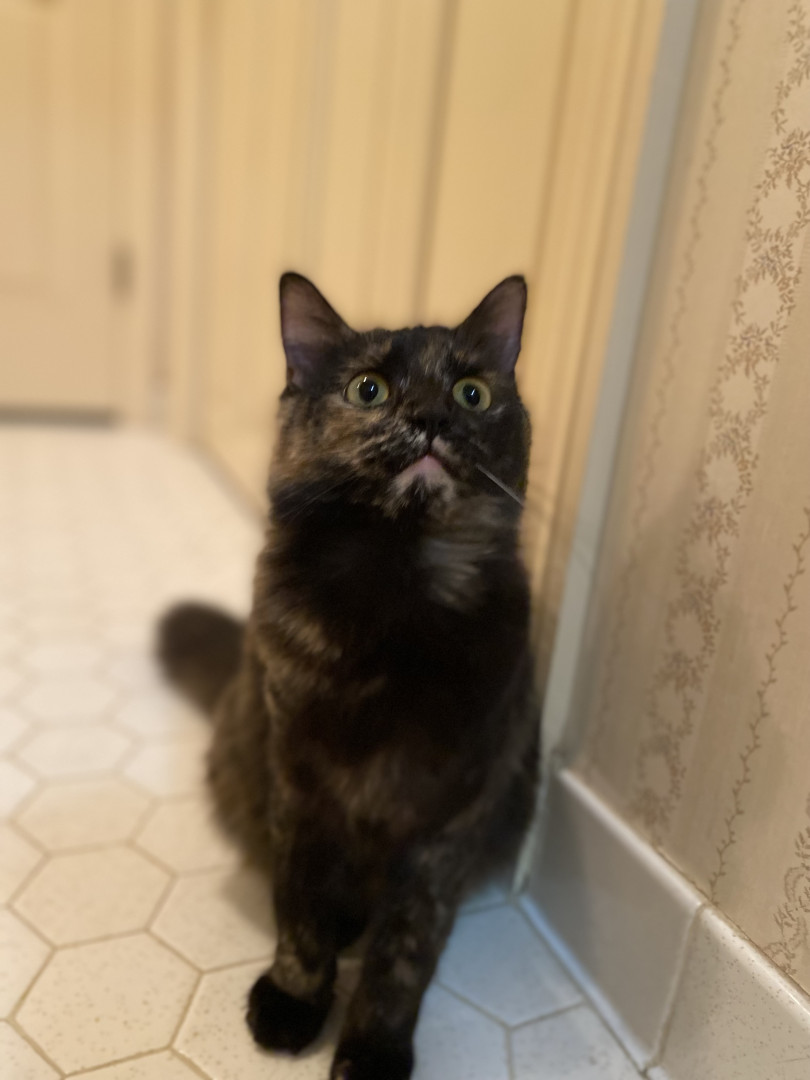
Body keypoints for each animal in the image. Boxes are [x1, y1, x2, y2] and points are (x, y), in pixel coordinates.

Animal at [157, 272, 540, 1080]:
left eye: (471, 393)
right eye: (369, 390)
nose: (429, 418)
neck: (396, 599)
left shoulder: (447, 822)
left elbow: (405, 954)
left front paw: (372, 1051)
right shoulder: (301, 784)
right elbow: (300, 910)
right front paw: (293, 1003)